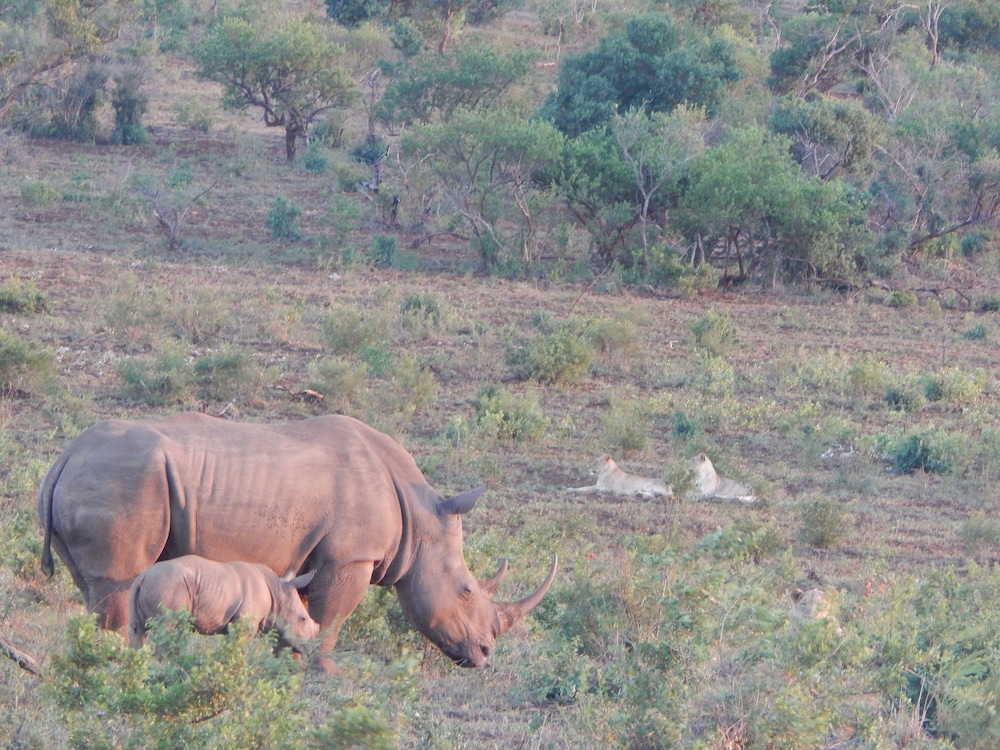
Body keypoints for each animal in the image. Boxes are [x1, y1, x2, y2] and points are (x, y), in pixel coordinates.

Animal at [128, 555, 319, 648]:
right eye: (302, 619)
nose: (311, 648)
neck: (277, 592)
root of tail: (144, 576)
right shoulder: (245, 624)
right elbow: (240, 651)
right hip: (168, 586)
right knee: (168, 631)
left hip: (142, 587)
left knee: (137, 632)